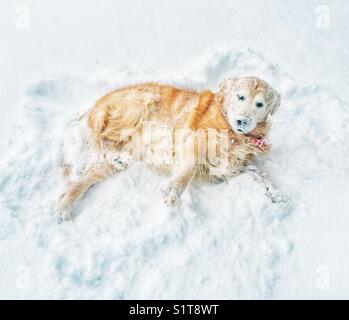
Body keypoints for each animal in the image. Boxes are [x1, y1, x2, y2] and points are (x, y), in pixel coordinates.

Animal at [57, 76, 280, 221]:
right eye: (240, 97)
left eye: (259, 104)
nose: (243, 121)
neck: (235, 134)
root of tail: (93, 106)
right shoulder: (194, 140)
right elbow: (188, 169)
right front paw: (173, 190)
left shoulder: (230, 168)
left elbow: (260, 173)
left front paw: (275, 194)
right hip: (139, 104)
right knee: (102, 139)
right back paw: (115, 156)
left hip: (107, 164)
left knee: (83, 180)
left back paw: (64, 205)